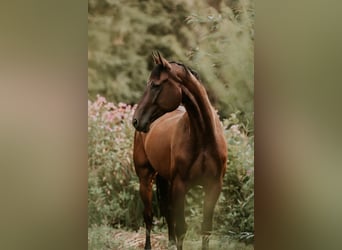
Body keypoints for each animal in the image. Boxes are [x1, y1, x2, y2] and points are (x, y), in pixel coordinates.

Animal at [133, 51, 227, 249]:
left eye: (155, 85)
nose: (136, 120)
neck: (204, 137)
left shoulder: (214, 186)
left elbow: (206, 228)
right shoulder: (180, 186)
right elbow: (182, 228)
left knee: (167, 212)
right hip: (145, 178)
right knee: (149, 216)